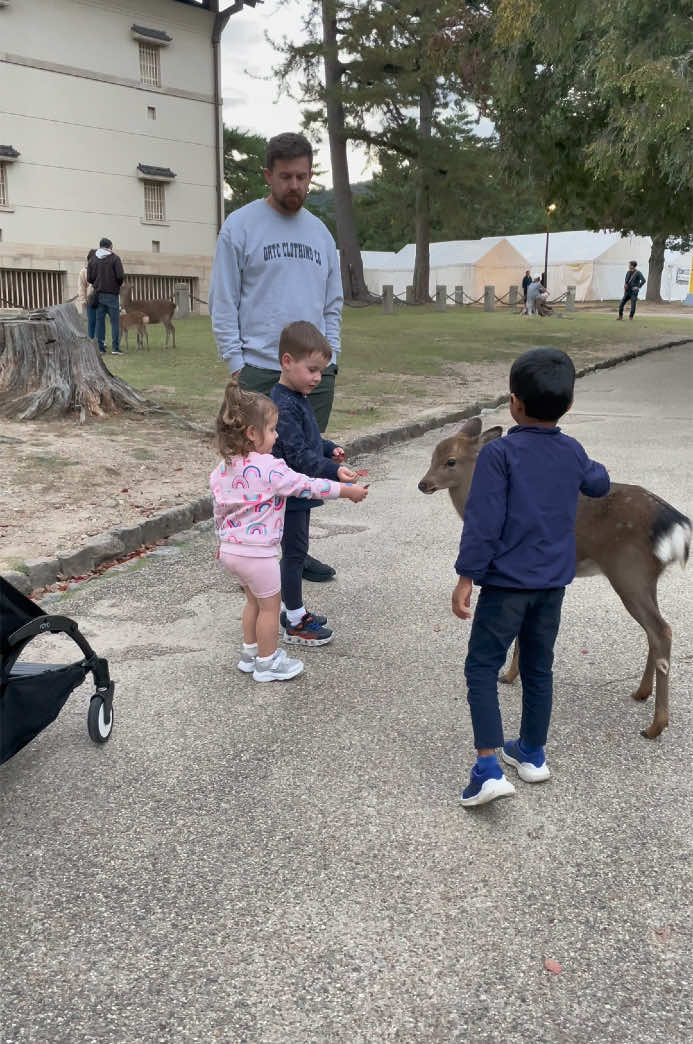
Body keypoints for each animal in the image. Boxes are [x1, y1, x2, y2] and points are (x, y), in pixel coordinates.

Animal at [419, 415, 688, 743]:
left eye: (451, 461)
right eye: (433, 455)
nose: (424, 483)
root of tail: (672, 522)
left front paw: (508, 675)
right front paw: (513, 673)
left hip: (629, 570)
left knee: (660, 630)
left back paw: (655, 725)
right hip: (647, 576)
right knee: (656, 629)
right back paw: (641, 693)